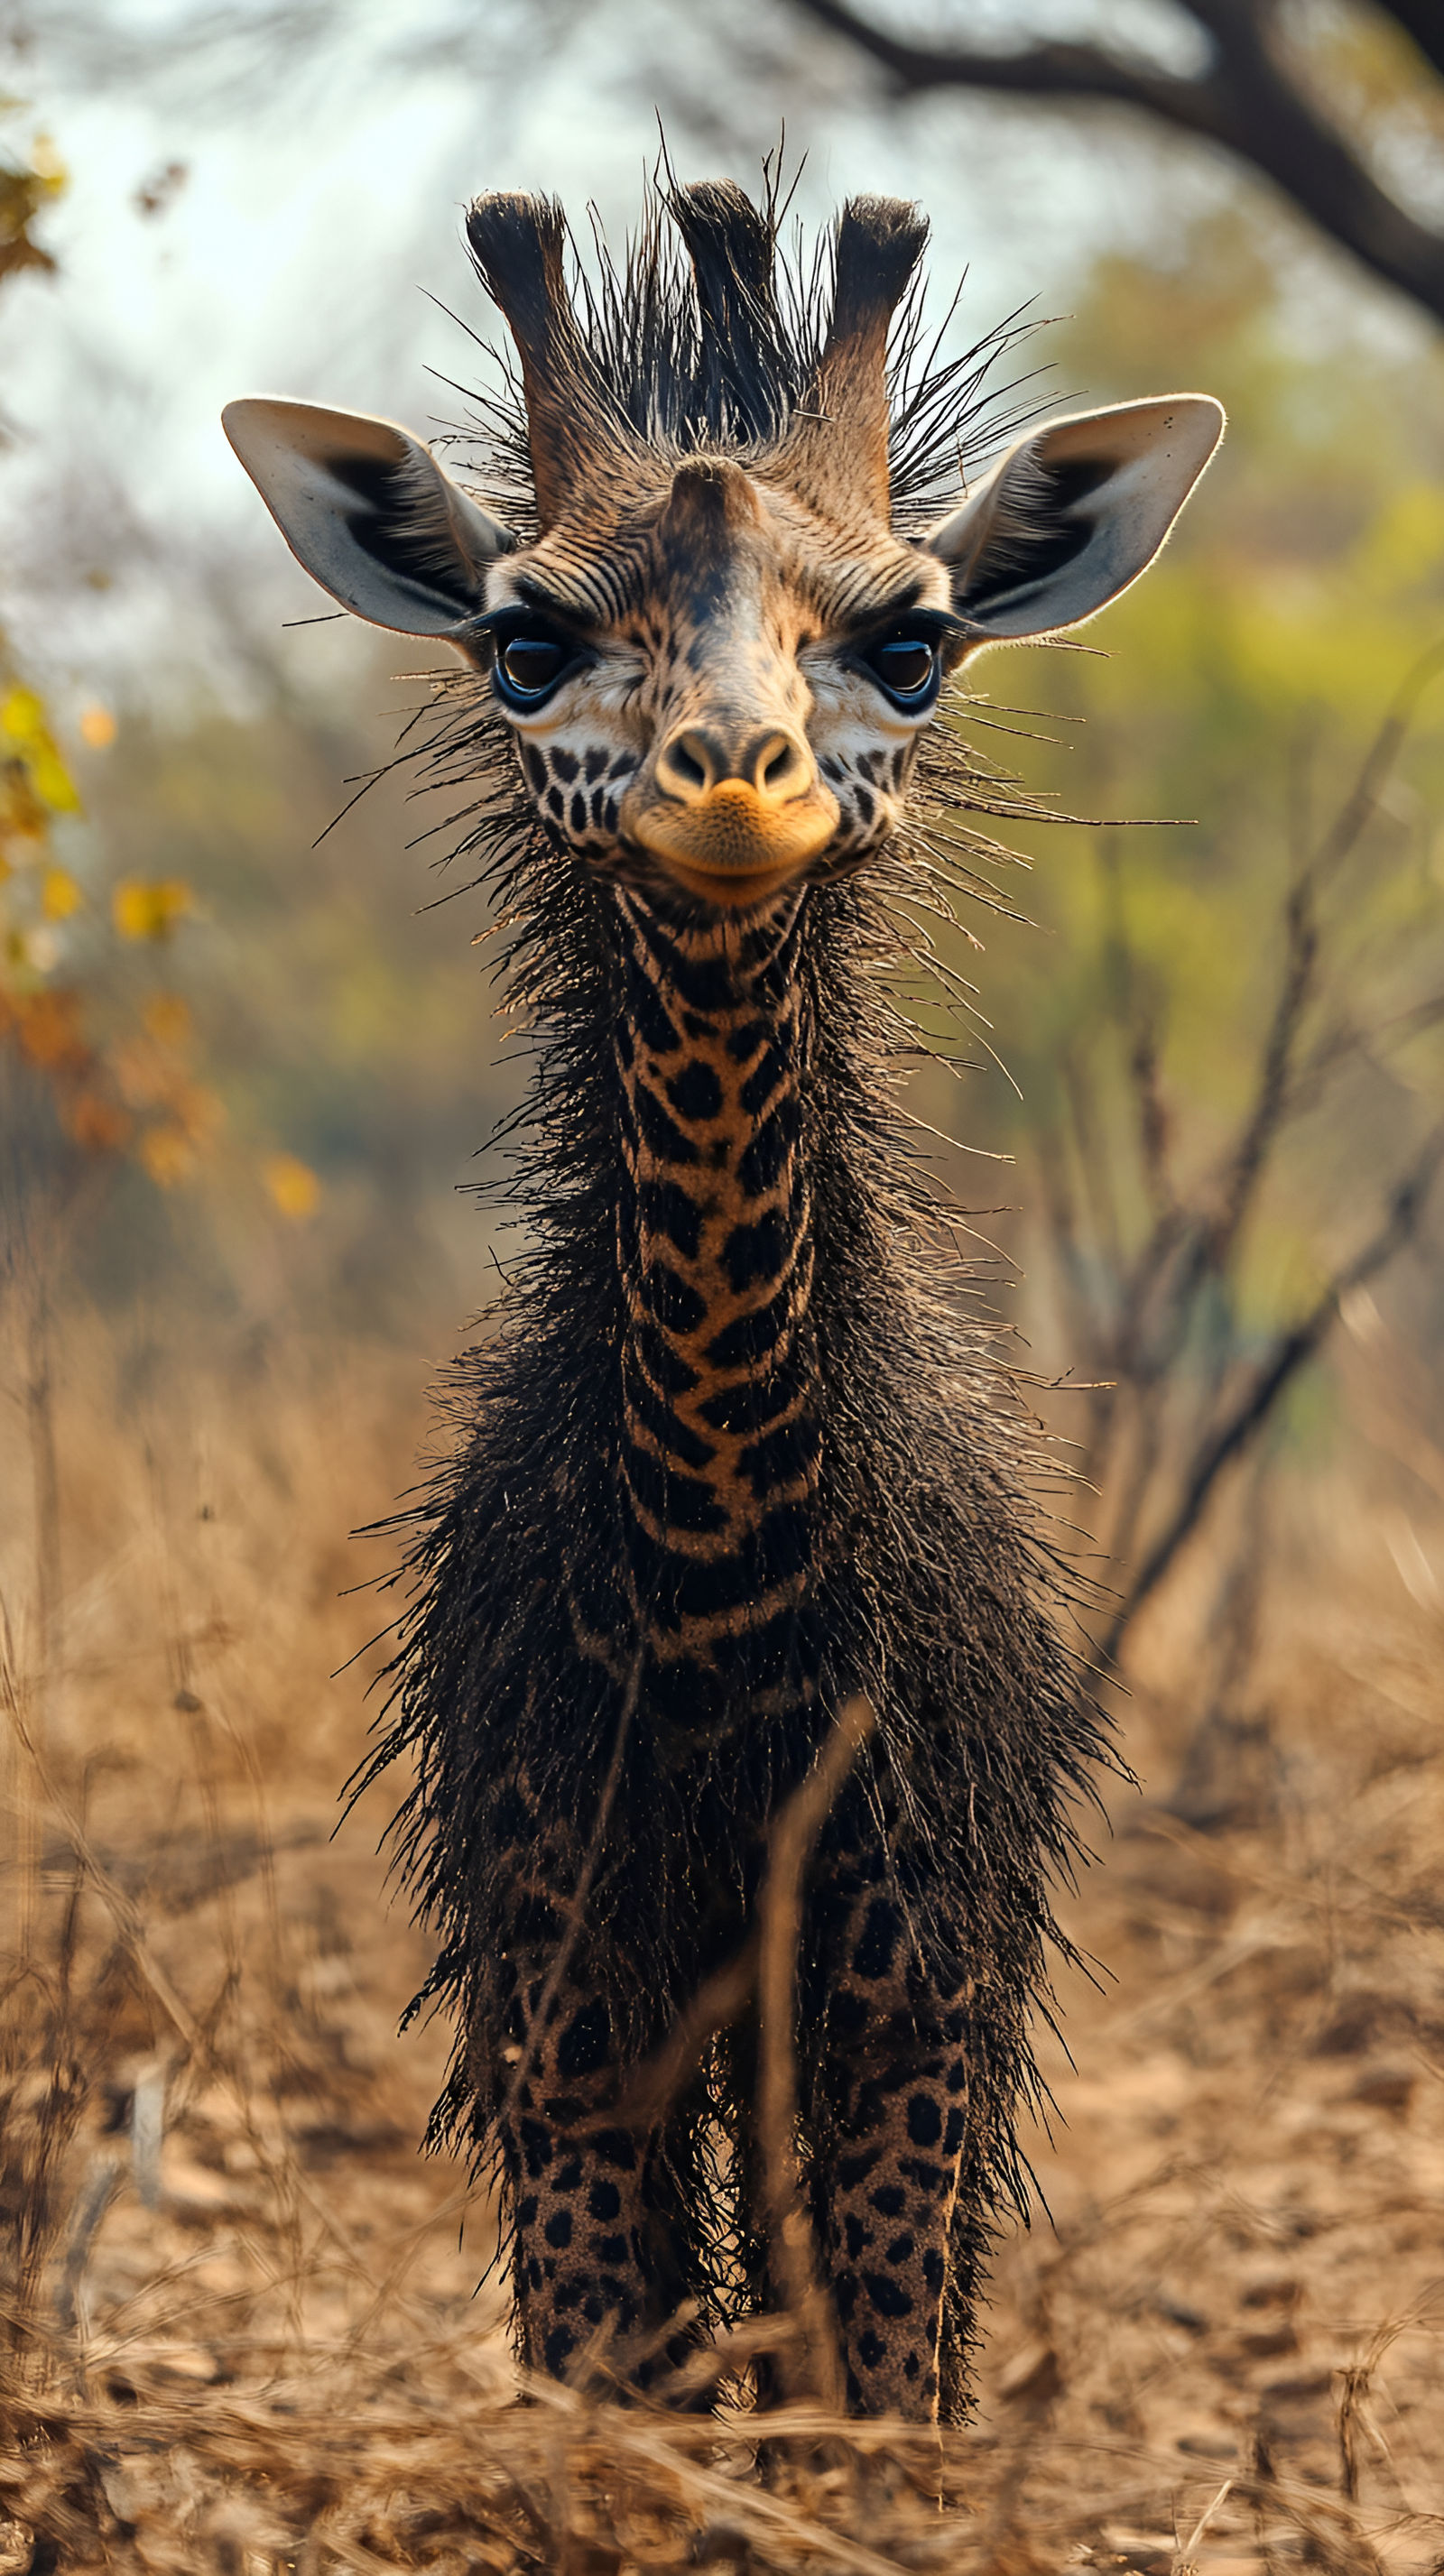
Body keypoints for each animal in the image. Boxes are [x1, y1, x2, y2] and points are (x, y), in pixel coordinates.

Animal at [224, 177, 1222, 2421]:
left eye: (911, 640)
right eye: (523, 637)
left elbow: (867, 2406)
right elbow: (620, 2393)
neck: (715, 1582)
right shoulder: (559, 1976)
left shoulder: (911, 1974)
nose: (730, 785)